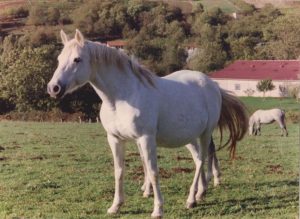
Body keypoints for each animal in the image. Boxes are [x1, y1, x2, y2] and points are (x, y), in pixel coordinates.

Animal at [47, 30, 248, 218]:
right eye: (59, 59)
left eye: (77, 59)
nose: (53, 88)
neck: (122, 97)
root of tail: (212, 84)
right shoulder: (115, 139)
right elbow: (119, 171)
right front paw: (116, 206)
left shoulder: (146, 139)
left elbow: (153, 171)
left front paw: (158, 209)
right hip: (189, 136)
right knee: (198, 157)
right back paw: (201, 192)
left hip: (205, 133)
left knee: (201, 160)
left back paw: (192, 199)